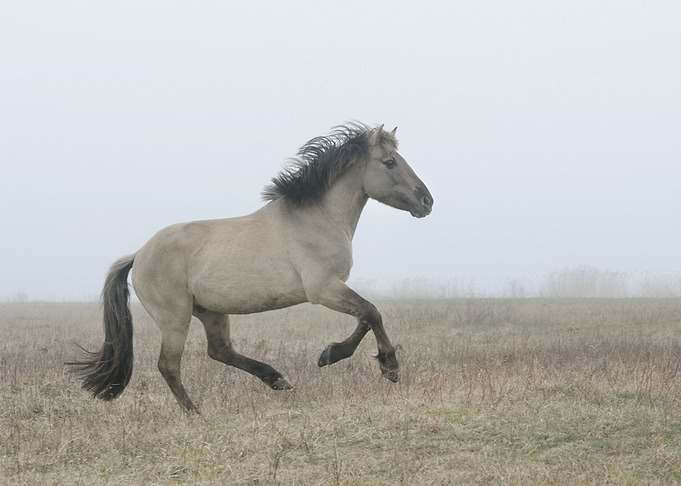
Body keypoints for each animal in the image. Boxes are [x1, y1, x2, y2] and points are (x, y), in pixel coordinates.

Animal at [69, 123, 434, 412]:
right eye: (390, 162)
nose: (427, 201)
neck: (317, 218)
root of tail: (138, 254)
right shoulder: (324, 289)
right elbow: (372, 313)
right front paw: (389, 366)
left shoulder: (332, 288)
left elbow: (364, 317)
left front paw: (329, 354)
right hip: (175, 317)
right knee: (169, 366)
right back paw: (195, 412)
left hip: (211, 311)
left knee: (219, 351)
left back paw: (277, 380)